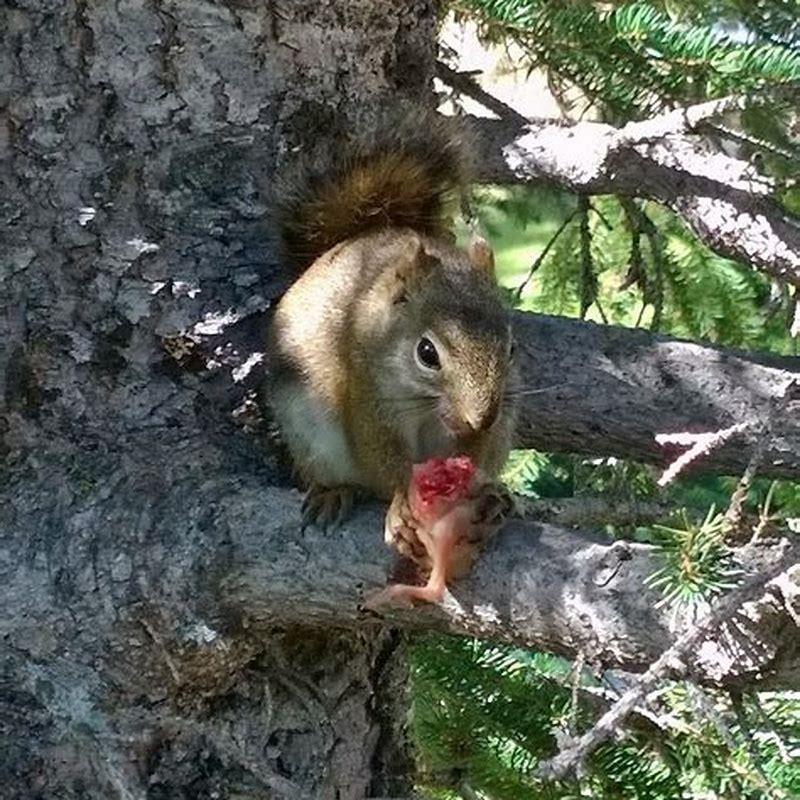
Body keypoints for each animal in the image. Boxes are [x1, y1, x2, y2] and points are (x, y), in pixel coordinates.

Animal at [266, 109, 520, 528]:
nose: (480, 417)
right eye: (427, 354)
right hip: (307, 432)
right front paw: (407, 500)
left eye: (512, 349)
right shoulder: (366, 394)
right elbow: (382, 460)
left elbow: (473, 454)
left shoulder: (490, 427)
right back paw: (333, 493)